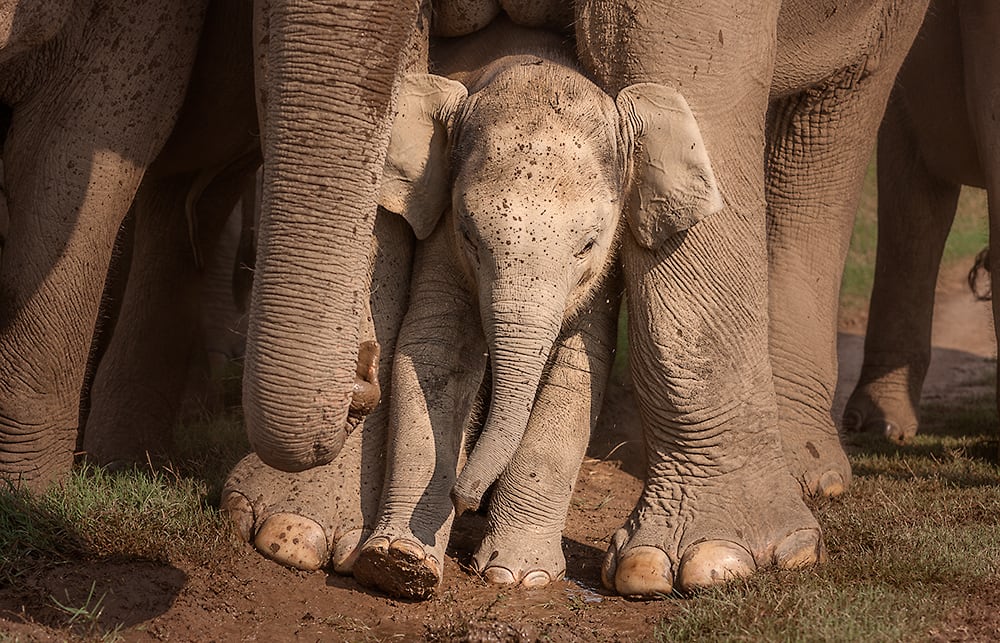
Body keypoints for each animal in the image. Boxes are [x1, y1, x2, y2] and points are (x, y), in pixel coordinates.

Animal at [356, 17, 724, 600]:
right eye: (469, 235)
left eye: (588, 244)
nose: (465, 498)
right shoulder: (440, 235)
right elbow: (436, 351)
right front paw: (397, 563)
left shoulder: (601, 276)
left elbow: (578, 367)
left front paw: (517, 574)